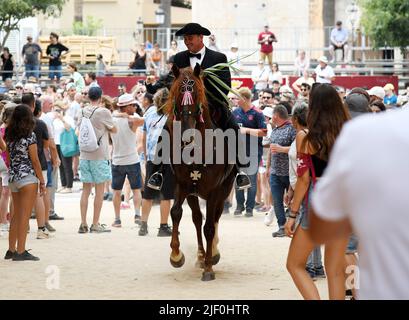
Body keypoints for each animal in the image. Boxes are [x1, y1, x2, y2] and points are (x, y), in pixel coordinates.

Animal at [161, 63, 234, 280]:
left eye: (195, 92)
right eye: (178, 92)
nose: (187, 134)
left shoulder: (214, 190)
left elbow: (209, 227)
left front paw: (209, 268)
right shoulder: (183, 185)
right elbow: (176, 213)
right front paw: (176, 256)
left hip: (223, 191)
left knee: (214, 219)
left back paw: (213, 254)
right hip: (194, 194)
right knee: (196, 218)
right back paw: (201, 256)